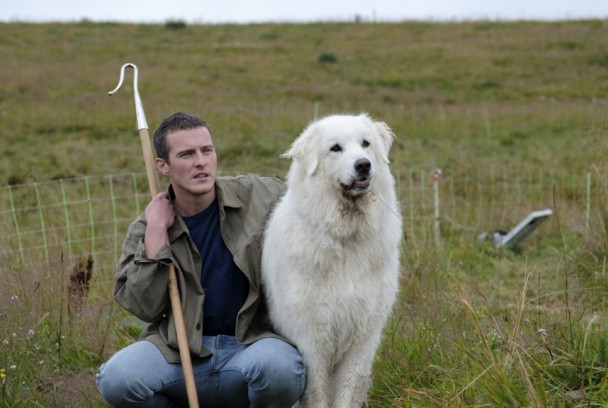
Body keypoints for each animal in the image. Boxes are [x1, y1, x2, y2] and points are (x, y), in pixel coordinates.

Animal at [262, 113, 402, 406]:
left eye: (366, 143)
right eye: (335, 148)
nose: (363, 165)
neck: (344, 238)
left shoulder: (363, 338)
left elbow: (348, 388)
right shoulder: (311, 339)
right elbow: (317, 393)